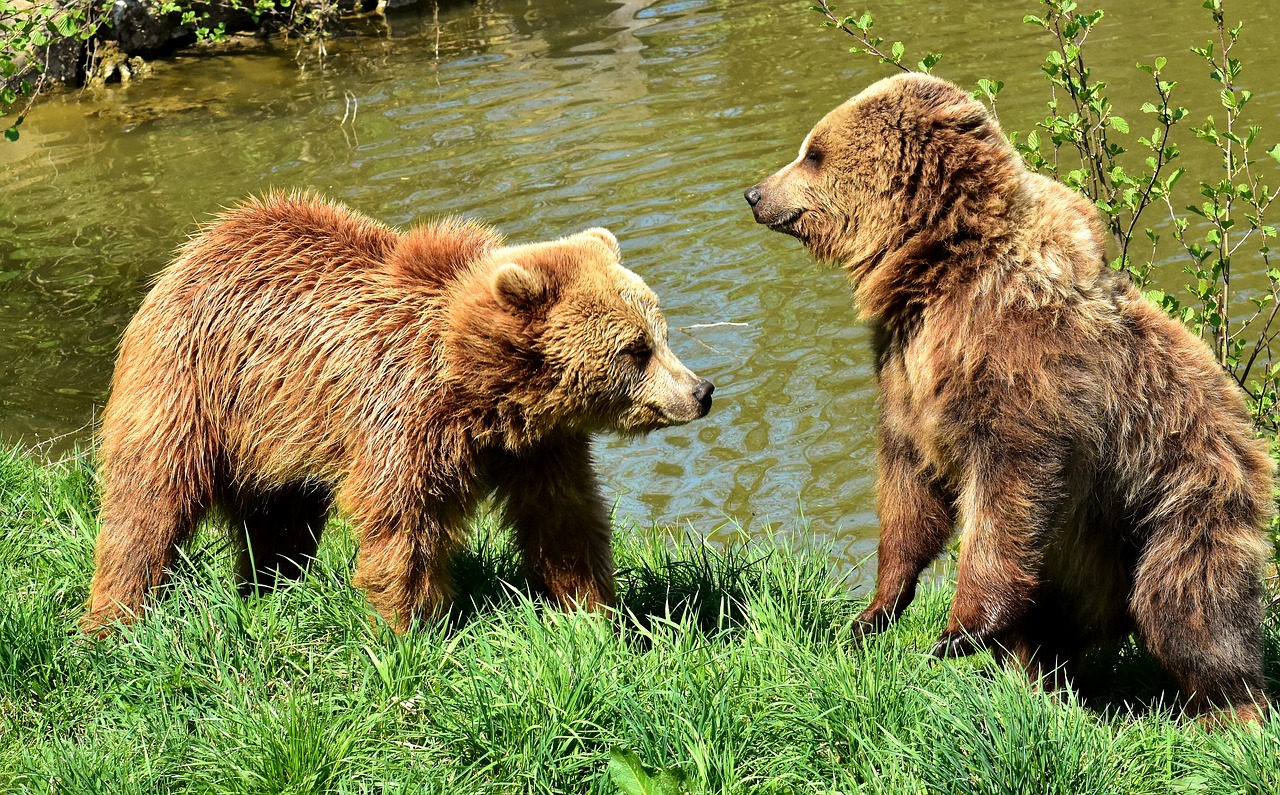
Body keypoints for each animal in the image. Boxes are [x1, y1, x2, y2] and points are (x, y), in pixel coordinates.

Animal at [80, 192, 716, 632]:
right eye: (636, 349)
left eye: (661, 333)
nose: (701, 390)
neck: (482, 394)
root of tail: (198, 246)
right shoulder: (402, 416)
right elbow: (402, 526)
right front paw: (408, 628)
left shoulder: (539, 448)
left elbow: (564, 519)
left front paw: (593, 611)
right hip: (190, 386)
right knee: (149, 502)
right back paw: (114, 618)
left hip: (276, 431)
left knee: (279, 516)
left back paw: (270, 586)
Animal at [747, 71, 1274, 722]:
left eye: (813, 153)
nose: (755, 193)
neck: (939, 272)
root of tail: (1247, 434)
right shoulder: (905, 370)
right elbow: (908, 485)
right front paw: (874, 610)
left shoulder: (1021, 362)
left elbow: (1011, 485)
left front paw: (956, 631)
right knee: (1062, 623)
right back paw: (1037, 680)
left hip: (1178, 492)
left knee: (1189, 604)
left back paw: (1233, 711)